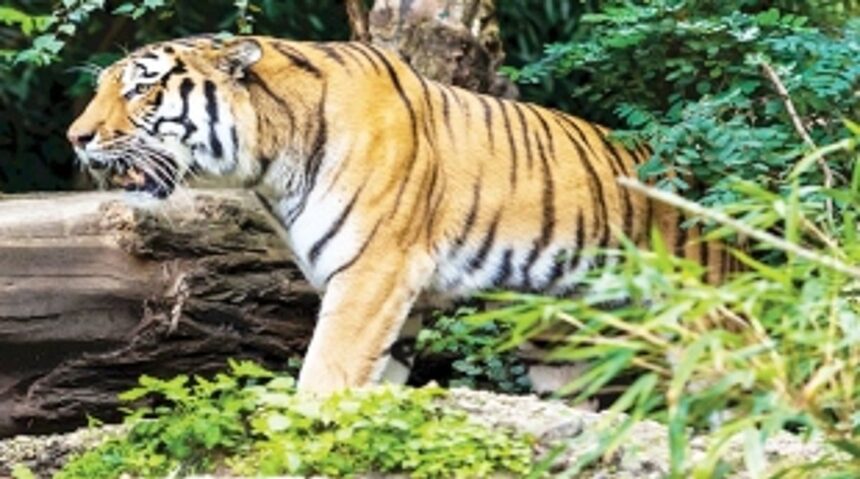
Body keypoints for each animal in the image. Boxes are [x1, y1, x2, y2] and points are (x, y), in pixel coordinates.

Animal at [66, 35, 735, 394]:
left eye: (140, 90)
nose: (76, 138)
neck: (268, 167)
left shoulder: (373, 272)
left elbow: (326, 370)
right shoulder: (395, 295)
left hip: (703, 321)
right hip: (563, 344)